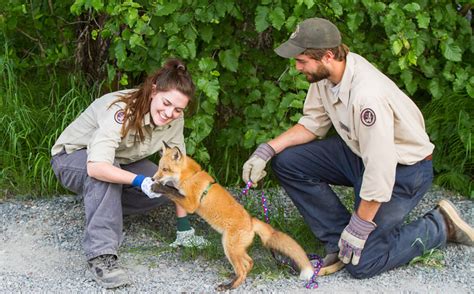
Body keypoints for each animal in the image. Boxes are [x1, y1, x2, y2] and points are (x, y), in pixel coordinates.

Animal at [153, 142, 314, 290]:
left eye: (165, 169)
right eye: (159, 167)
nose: (154, 178)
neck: (191, 176)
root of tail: (251, 221)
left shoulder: (190, 204)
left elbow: (172, 192)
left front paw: (157, 187)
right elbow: (173, 191)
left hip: (229, 248)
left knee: (243, 269)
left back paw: (229, 286)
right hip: (235, 249)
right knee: (249, 262)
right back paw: (233, 276)